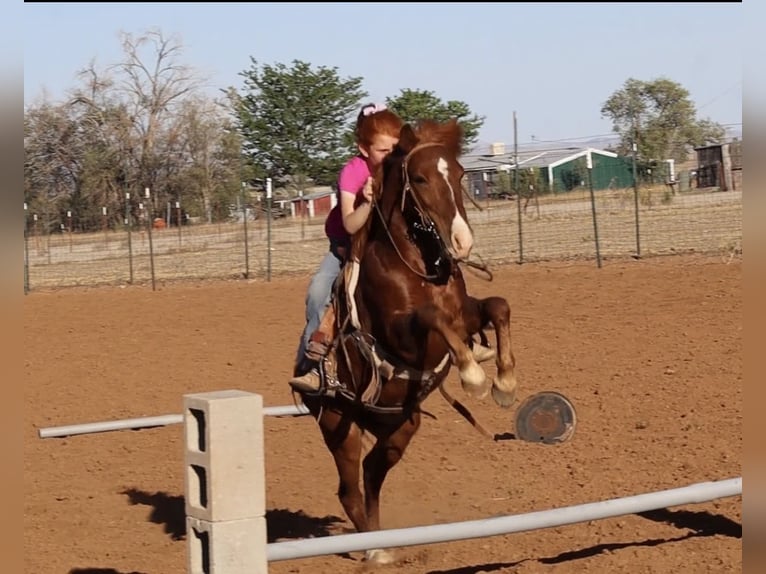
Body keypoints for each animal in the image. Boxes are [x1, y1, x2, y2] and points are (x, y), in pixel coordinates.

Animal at [294, 118, 519, 564]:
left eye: (461, 173)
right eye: (419, 178)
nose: (462, 242)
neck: (416, 265)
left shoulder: (465, 315)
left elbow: (497, 306)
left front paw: (502, 382)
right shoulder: (405, 337)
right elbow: (433, 318)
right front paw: (473, 376)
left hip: (400, 427)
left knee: (371, 474)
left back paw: (378, 544)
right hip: (338, 426)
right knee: (349, 488)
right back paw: (372, 552)